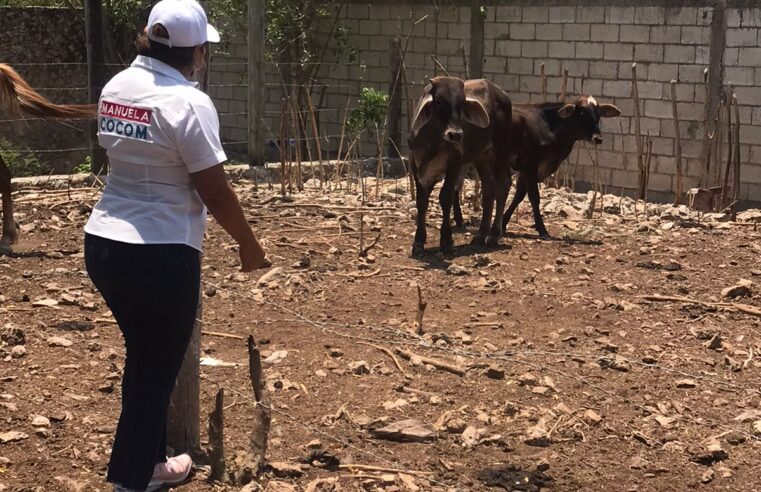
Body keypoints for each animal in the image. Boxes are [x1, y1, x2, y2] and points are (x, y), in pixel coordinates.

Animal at [406, 76, 512, 258]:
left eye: (462, 102)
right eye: (438, 100)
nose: (455, 134)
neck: (433, 140)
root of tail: (503, 94)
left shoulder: (454, 163)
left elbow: (445, 197)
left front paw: (447, 241)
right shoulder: (416, 165)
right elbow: (422, 201)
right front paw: (418, 242)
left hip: (500, 151)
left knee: (502, 186)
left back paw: (493, 235)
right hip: (481, 157)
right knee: (489, 189)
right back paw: (481, 234)